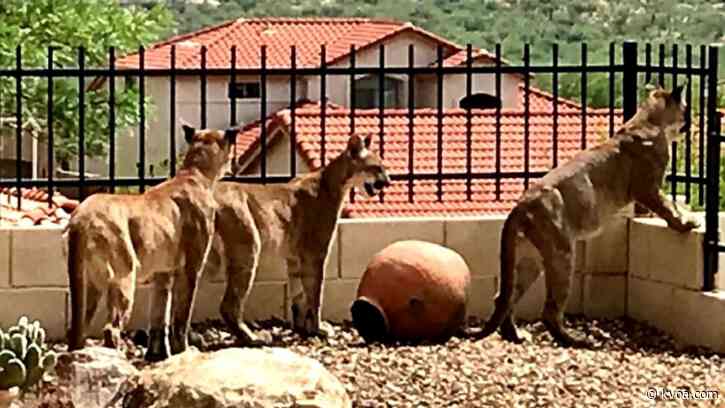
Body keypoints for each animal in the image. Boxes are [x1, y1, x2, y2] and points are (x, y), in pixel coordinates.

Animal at [66, 123, 236, 362]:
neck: (195, 173)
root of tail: (79, 218)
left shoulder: (163, 273)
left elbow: (159, 314)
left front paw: (157, 354)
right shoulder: (191, 268)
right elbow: (181, 317)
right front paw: (183, 351)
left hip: (90, 285)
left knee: (78, 329)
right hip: (124, 278)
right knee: (111, 329)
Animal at [205, 133, 390, 345]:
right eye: (377, 167)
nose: (388, 181)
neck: (332, 182)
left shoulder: (293, 257)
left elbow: (298, 294)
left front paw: (302, 328)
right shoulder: (315, 254)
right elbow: (315, 294)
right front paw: (318, 328)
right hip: (247, 249)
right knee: (228, 305)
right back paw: (252, 337)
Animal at [474, 83, 698, 347]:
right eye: (685, 107)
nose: (692, 120)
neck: (649, 119)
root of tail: (521, 204)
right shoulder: (648, 189)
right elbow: (667, 207)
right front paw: (686, 223)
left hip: (529, 259)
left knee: (504, 297)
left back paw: (515, 335)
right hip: (561, 254)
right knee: (550, 310)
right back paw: (578, 341)